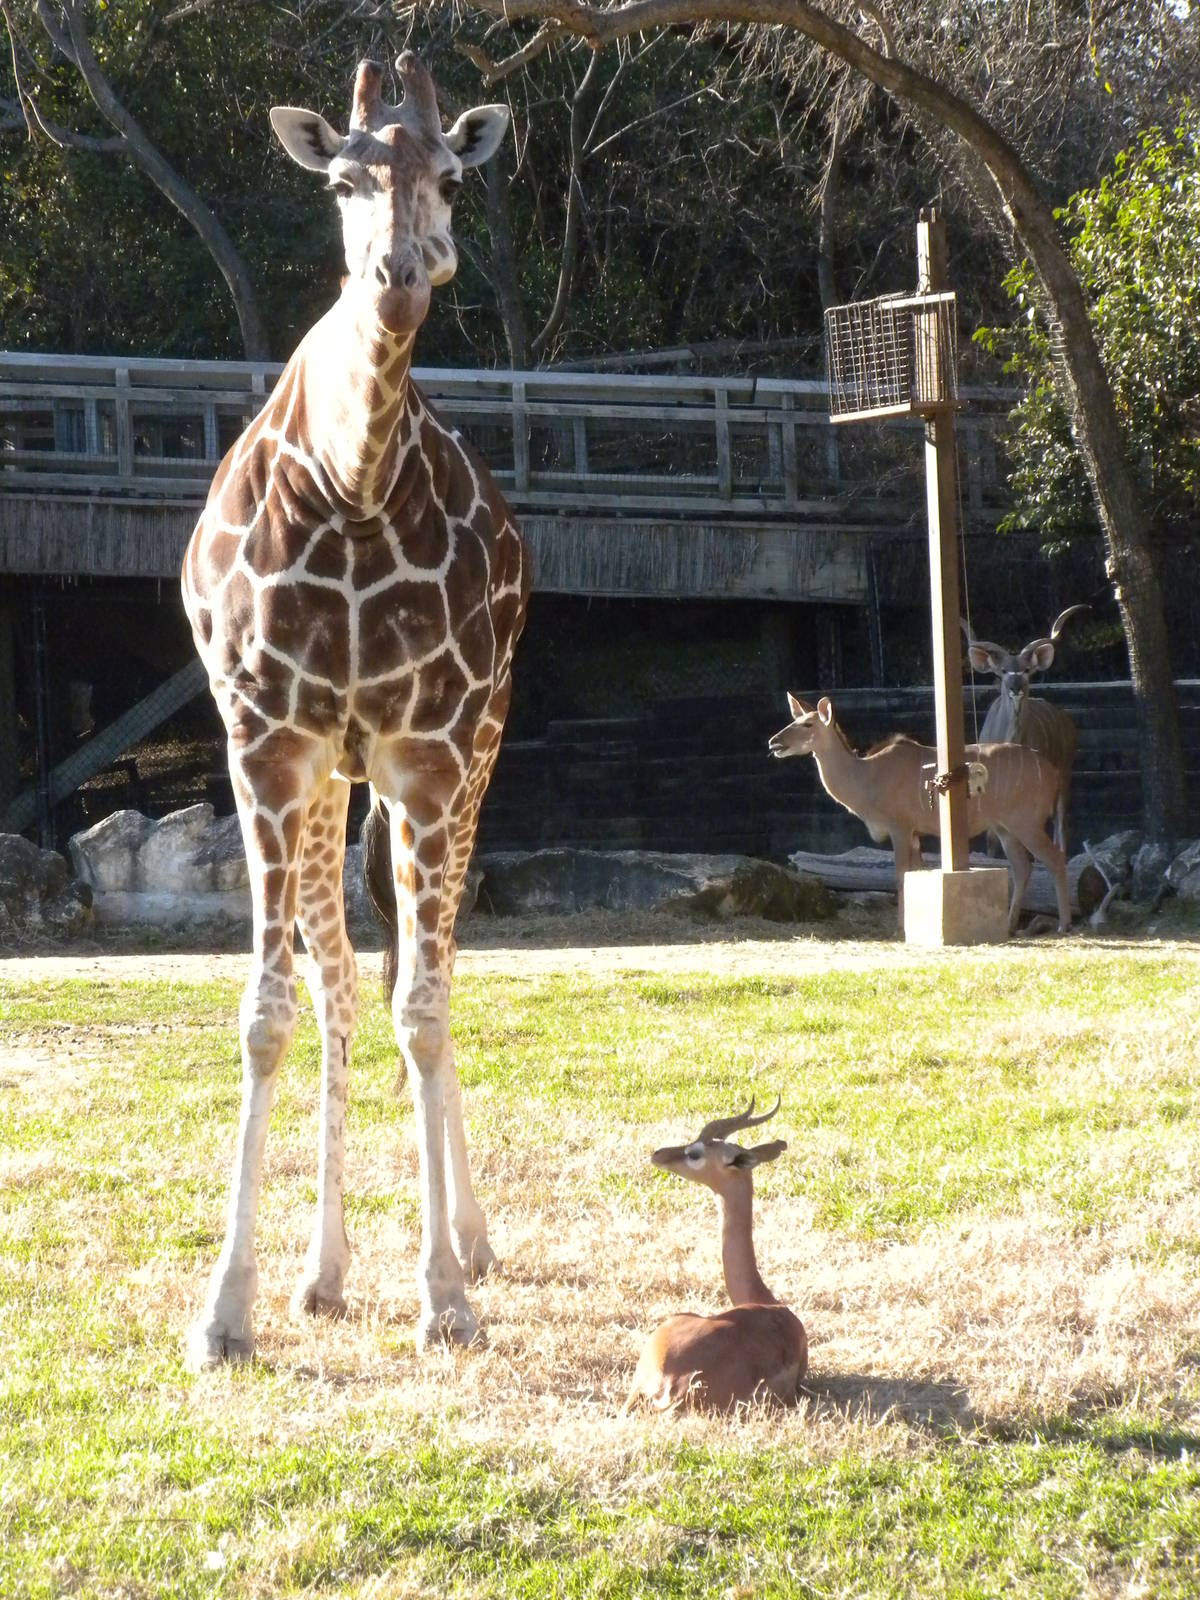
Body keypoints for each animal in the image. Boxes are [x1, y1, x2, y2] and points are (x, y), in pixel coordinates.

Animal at [180, 54, 527, 1367]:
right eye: (341, 179)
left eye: (452, 178)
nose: (402, 273)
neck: (354, 476)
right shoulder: (265, 743)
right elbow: (269, 1011)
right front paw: (226, 1309)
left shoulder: (428, 751)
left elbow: (420, 1007)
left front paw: (446, 1293)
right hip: (332, 780)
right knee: (336, 983)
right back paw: (324, 1273)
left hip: (472, 753)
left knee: (430, 971)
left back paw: (466, 1240)